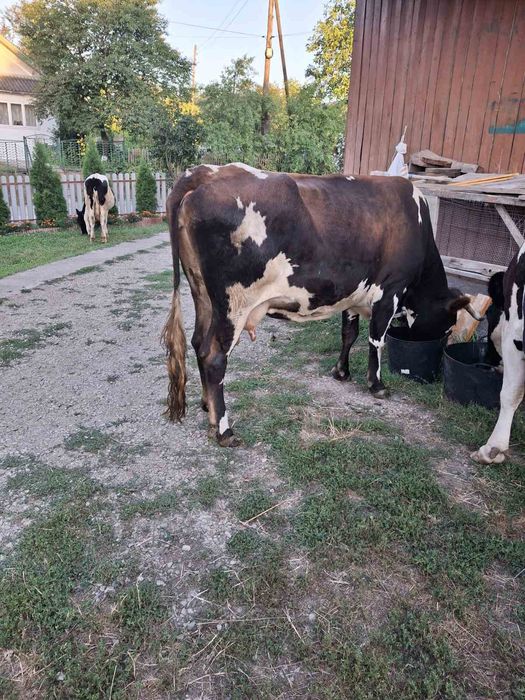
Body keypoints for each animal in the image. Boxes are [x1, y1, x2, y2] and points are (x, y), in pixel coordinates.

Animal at [162, 163, 479, 447]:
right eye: (448, 326)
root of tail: (205, 172)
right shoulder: (390, 290)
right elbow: (376, 340)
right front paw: (376, 385)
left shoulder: (354, 292)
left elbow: (349, 334)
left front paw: (341, 372)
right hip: (234, 304)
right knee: (215, 356)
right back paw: (224, 430)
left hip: (203, 296)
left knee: (198, 342)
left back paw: (208, 406)